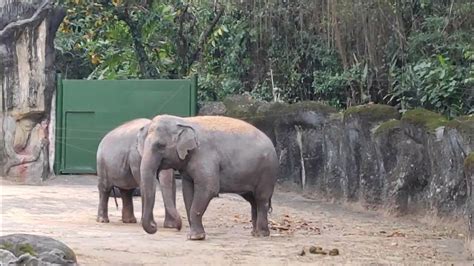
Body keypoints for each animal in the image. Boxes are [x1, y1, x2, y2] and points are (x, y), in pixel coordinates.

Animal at [138, 115, 278, 240]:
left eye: (160, 145)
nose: (154, 226)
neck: (184, 120)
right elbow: (187, 192)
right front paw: (195, 235)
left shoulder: (204, 156)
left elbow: (209, 189)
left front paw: (195, 237)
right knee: (252, 200)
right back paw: (254, 233)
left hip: (267, 171)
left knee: (261, 198)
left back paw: (261, 234)